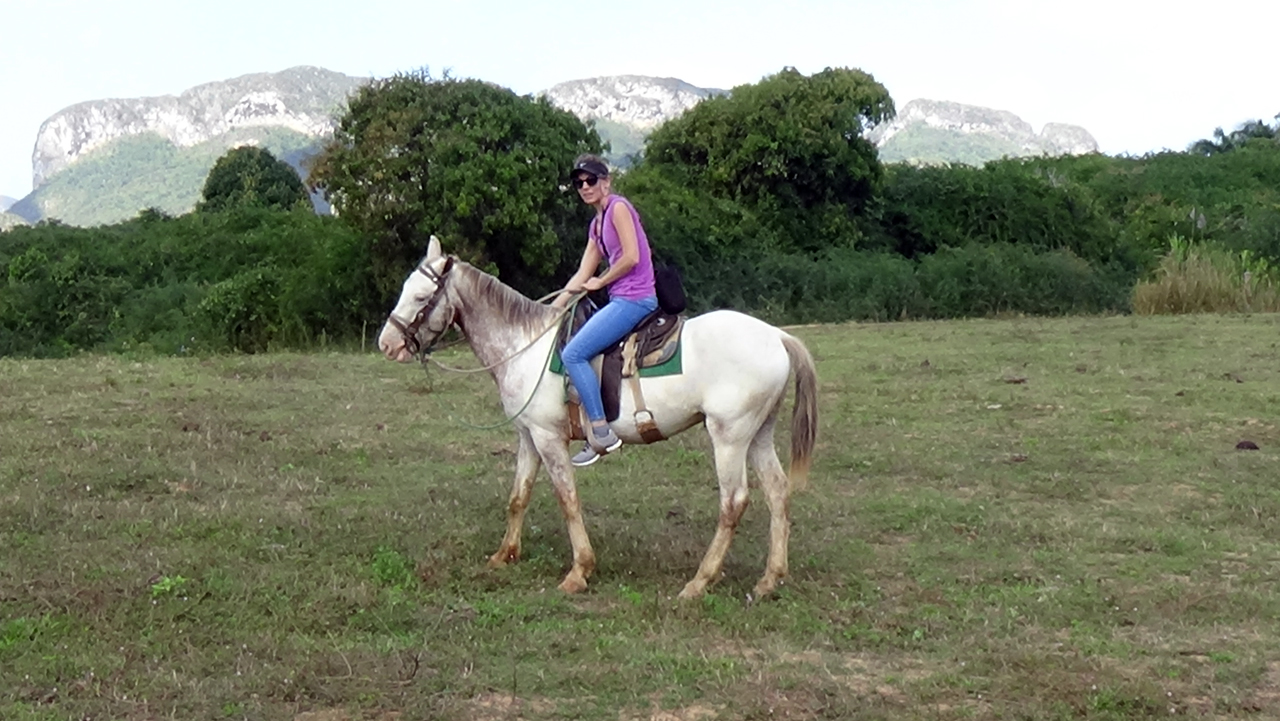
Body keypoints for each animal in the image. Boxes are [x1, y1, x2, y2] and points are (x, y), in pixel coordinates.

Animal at [376, 236, 819, 599]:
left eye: (421, 298)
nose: (386, 344)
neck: (524, 346)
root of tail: (778, 337)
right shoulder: (528, 436)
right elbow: (519, 496)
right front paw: (504, 555)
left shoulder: (549, 438)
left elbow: (567, 499)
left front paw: (579, 571)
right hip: (757, 433)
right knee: (778, 492)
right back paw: (769, 579)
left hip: (728, 437)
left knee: (734, 502)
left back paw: (700, 581)